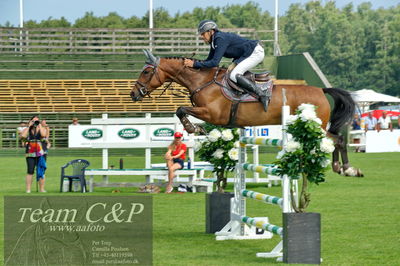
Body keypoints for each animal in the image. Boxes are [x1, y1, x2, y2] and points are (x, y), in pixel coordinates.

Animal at [130, 49, 362, 177]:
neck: (203, 81)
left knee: (337, 139)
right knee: (335, 139)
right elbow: (183, 111)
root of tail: (321, 90)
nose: (133, 94)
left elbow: (181, 109)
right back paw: (339, 167)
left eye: (147, 71)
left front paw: (192, 128)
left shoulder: (212, 114)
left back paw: (348, 169)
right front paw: (197, 128)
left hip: (315, 125)